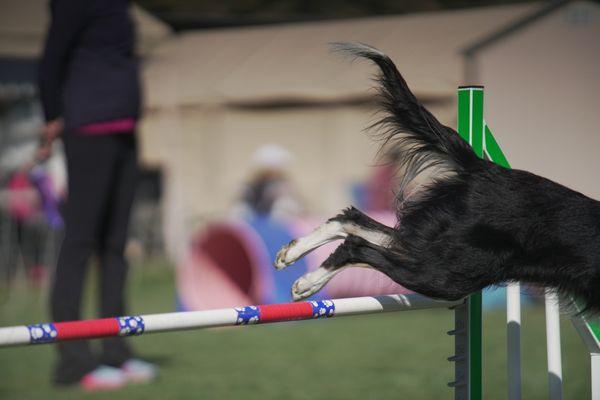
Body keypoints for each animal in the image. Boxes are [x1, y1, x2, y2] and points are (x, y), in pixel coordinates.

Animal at [274, 42, 600, 314]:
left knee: (352, 220)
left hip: (437, 242)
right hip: (451, 272)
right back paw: (307, 283)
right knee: (358, 246)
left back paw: (293, 255)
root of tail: (485, 168)